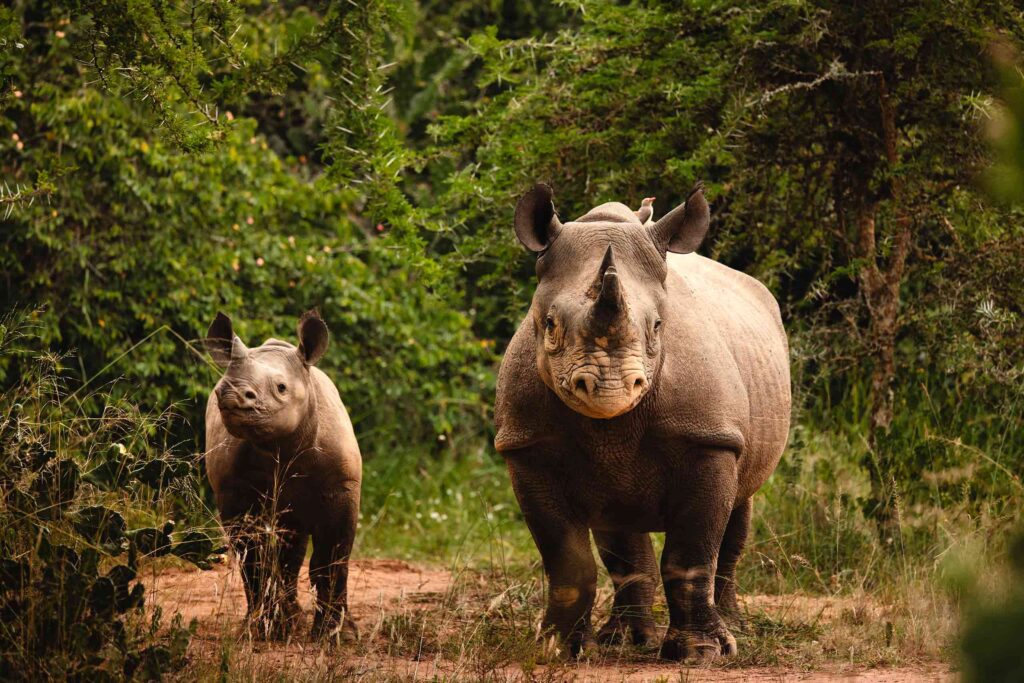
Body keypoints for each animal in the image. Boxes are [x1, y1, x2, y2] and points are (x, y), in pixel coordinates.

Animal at [204, 311, 361, 641]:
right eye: (220, 386)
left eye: (281, 388)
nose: (230, 393)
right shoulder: (234, 491)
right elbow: (253, 558)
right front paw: (263, 629)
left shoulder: (342, 485)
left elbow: (334, 555)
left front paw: (336, 635)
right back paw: (285, 622)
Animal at [494, 183, 791, 662]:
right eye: (550, 326)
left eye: (657, 326)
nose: (609, 388)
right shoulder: (526, 446)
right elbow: (568, 560)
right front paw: (558, 648)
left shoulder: (709, 439)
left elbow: (691, 556)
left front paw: (700, 654)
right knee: (619, 524)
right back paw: (624, 640)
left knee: (740, 505)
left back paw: (736, 628)